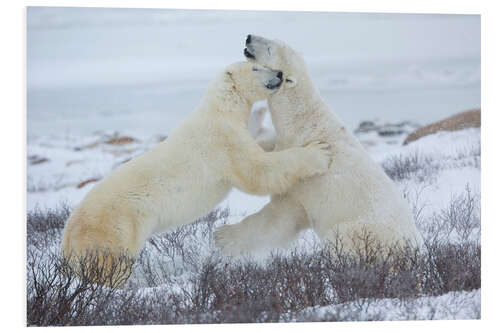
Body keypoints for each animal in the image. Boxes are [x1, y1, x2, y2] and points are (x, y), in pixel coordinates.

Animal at [62, 60, 334, 286]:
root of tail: (67, 238)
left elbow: (260, 149)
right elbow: (257, 171)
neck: (220, 108)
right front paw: (320, 152)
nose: (279, 74)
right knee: (109, 266)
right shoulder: (223, 140)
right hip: (113, 231)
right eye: (256, 67)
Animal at [215, 35, 422, 254]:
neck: (302, 123)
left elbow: (279, 217)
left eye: (271, 48)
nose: (249, 37)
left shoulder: (304, 184)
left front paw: (223, 237)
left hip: (364, 233)